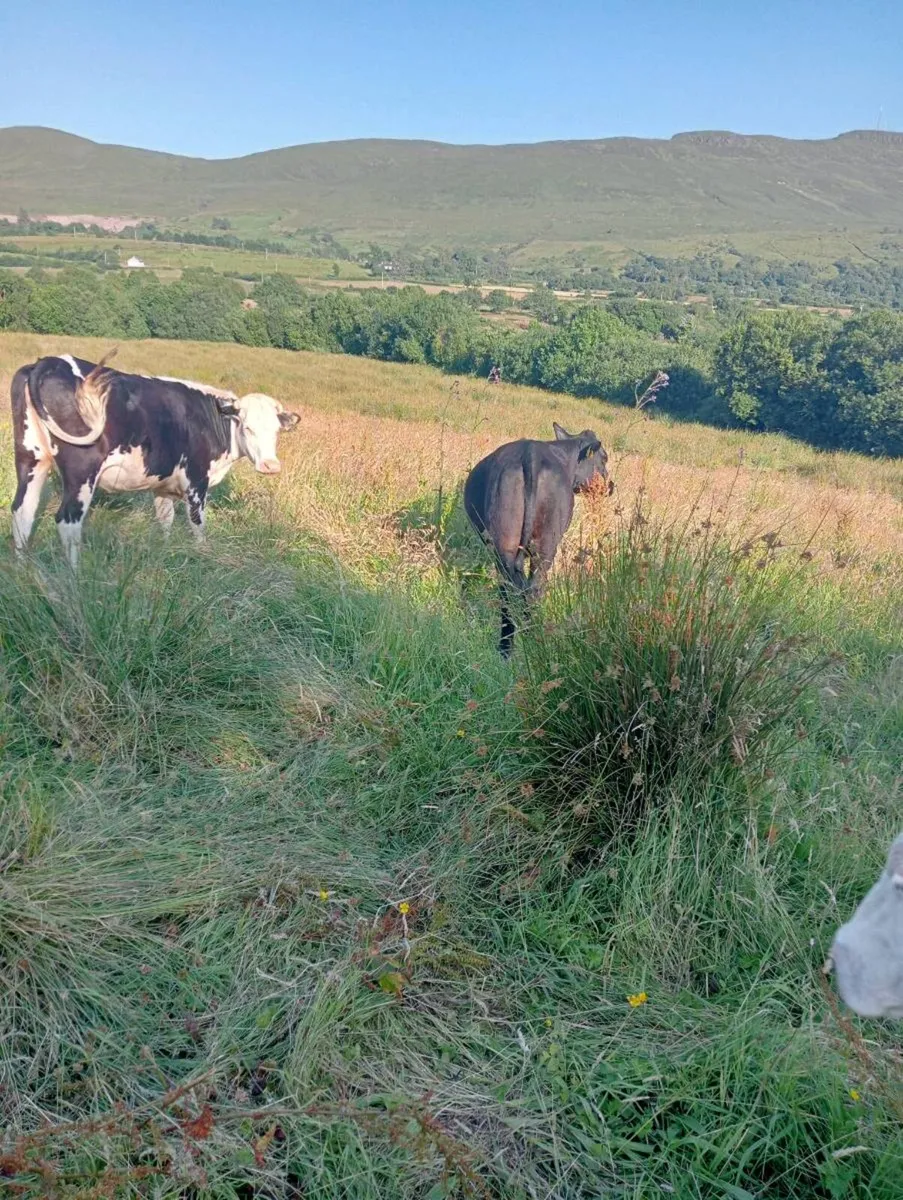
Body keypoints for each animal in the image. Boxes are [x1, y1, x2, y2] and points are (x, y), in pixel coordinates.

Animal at [10, 353, 300, 566]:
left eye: (276, 430)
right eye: (247, 428)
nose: (271, 466)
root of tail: (52, 360)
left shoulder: (164, 484)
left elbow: (165, 520)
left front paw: (165, 552)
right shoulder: (197, 481)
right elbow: (197, 525)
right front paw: (202, 556)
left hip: (31, 458)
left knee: (22, 511)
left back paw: (24, 570)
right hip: (81, 469)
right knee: (68, 519)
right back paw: (74, 578)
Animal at [464, 422, 611, 657]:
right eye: (604, 458)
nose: (609, 486)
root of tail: (529, 455)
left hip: (509, 545)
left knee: (514, 588)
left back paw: (512, 644)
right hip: (544, 546)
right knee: (529, 588)